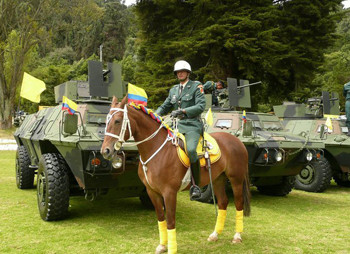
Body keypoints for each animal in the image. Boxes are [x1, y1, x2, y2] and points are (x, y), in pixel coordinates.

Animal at [100, 96, 250, 253]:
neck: (157, 149)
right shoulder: (152, 192)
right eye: (107, 120)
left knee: (239, 203)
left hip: (236, 180)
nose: (105, 151)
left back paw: (237, 236)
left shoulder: (169, 193)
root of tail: (237, 141)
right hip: (217, 180)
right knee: (223, 203)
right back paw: (215, 234)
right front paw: (162, 245)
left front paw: (171, 249)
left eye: (117, 121)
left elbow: (170, 221)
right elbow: (161, 218)